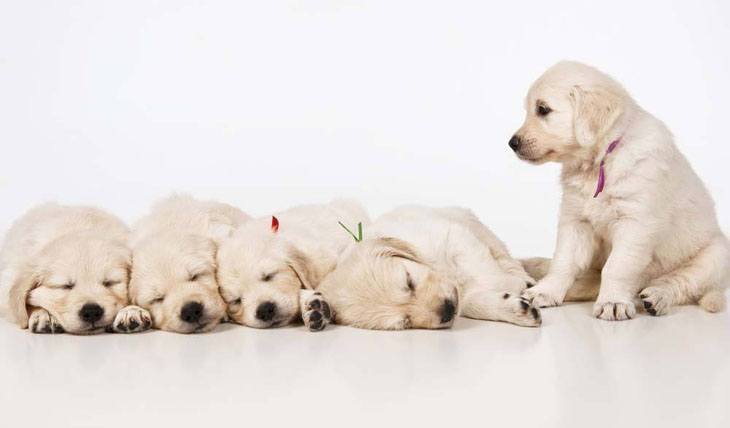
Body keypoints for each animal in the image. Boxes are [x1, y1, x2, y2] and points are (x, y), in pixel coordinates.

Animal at [314, 206, 540, 330]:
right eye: (405, 322)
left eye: (409, 281)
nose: (447, 310)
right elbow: (469, 301)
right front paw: (515, 307)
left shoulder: (454, 238)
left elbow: (487, 273)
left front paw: (515, 286)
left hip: (477, 227)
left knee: (505, 257)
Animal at [510, 61, 724, 320]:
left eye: (543, 109)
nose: (512, 143)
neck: (601, 160)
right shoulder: (576, 220)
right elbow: (563, 261)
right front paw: (545, 292)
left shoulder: (635, 223)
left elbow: (617, 267)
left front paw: (613, 302)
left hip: (716, 255)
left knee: (680, 281)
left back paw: (657, 297)